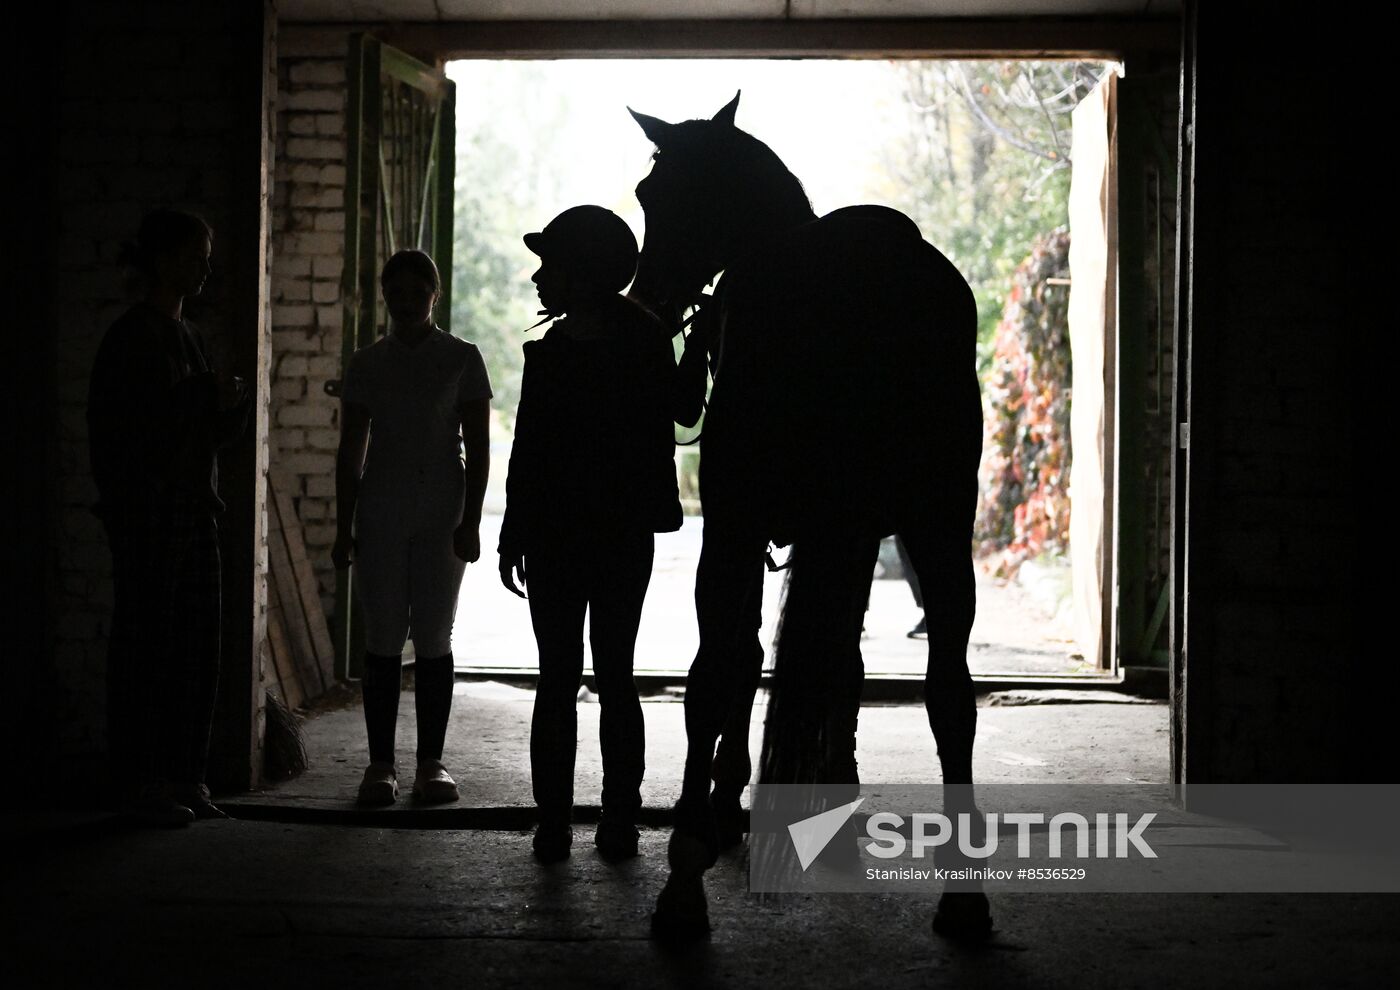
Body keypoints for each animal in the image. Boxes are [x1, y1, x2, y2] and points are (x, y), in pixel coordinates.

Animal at [630, 95, 991, 946]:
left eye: (655, 196)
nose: (649, 298)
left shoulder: (737, 527)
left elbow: (733, 664)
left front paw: (721, 805)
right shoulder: (848, 539)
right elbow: (834, 664)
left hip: (749, 529)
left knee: (713, 673)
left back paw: (686, 878)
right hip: (936, 524)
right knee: (949, 692)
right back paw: (964, 894)